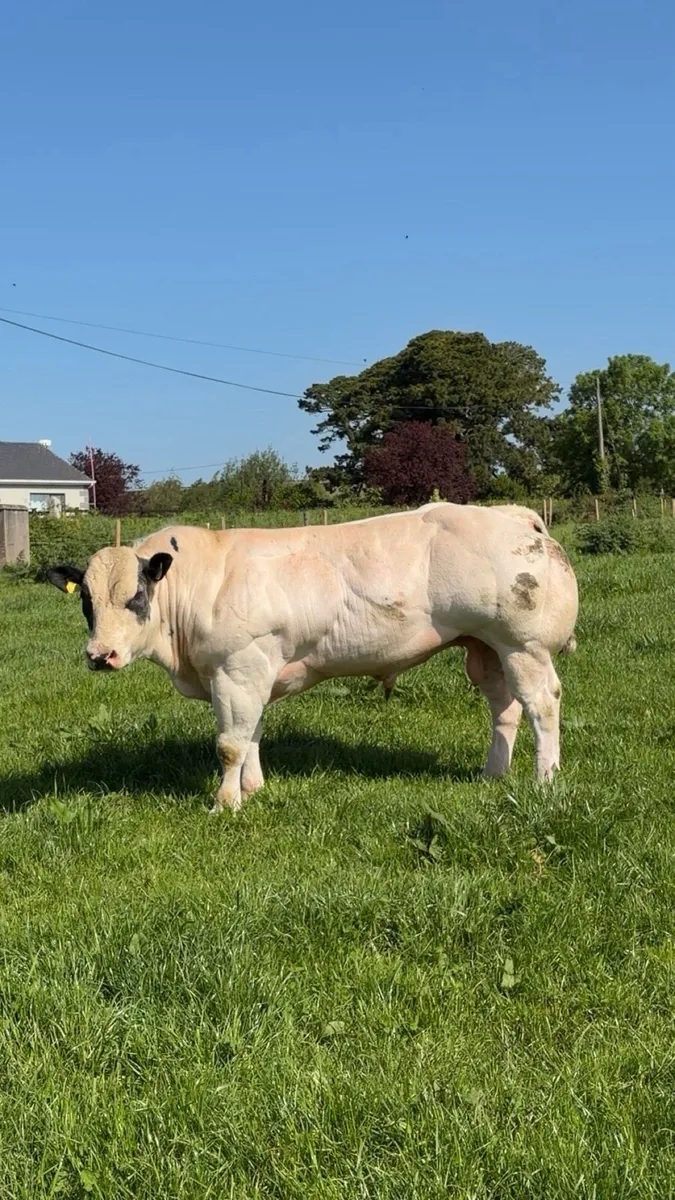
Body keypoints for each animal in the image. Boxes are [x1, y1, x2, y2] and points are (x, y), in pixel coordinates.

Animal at [45, 503, 578, 813]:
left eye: (136, 596)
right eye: (86, 601)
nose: (101, 655)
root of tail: (511, 512)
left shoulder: (238, 668)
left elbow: (230, 744)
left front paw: (225, 803)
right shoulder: (254, 671)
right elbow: (252, 735)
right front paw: (254, 788)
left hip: (524, 646)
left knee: (542, 704)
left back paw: (545, 779)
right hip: (485, 647)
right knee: (504, 708)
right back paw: (493, 772)